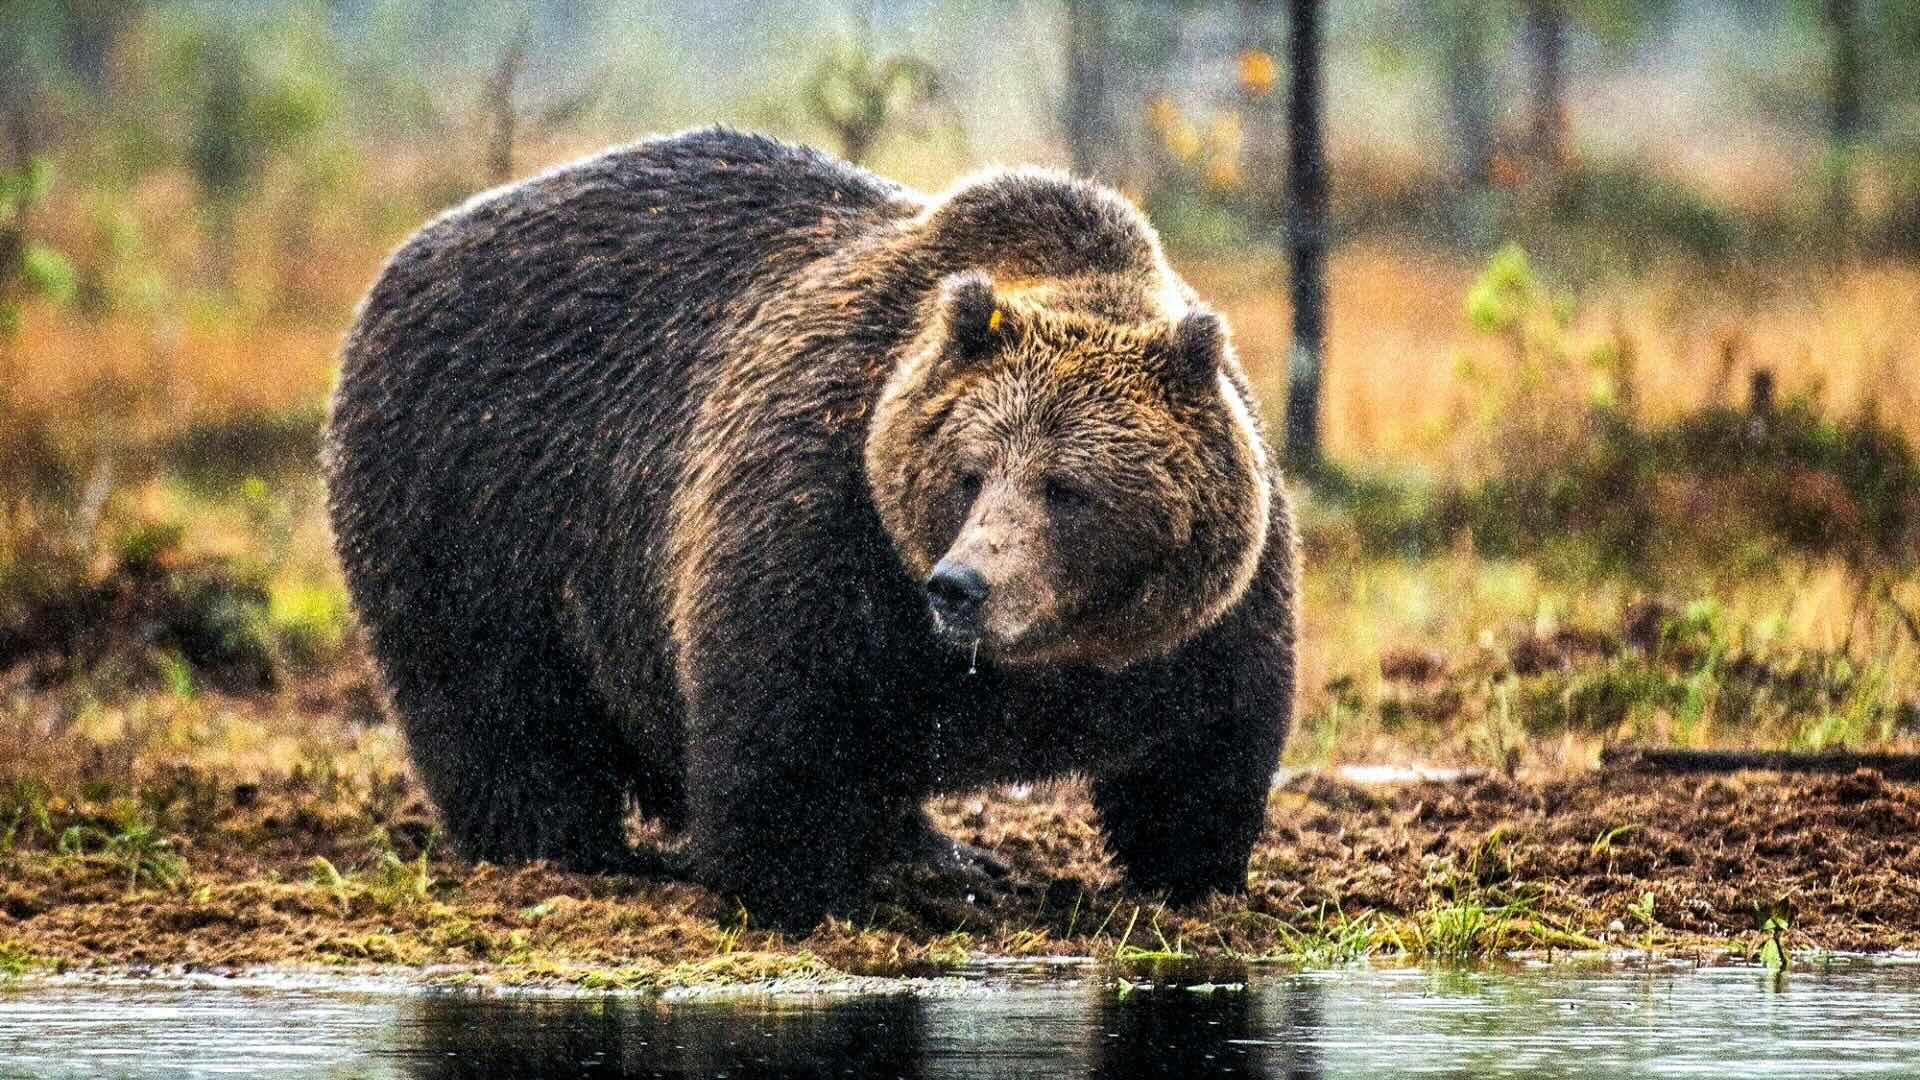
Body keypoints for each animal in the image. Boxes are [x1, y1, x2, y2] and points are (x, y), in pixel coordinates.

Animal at [323, 127, 1297, 930]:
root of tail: (414, 249)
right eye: (971, 472)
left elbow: (1204, 756)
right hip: (475, 497)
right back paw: (563, 854)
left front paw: (1191, 881)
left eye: (1067, 489)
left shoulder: (1205, 624)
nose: (962, 587)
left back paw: (943, 854)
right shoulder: (824, 522)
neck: (1045, 660)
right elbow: (781, 731)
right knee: (499, 708)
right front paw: (797, 894)